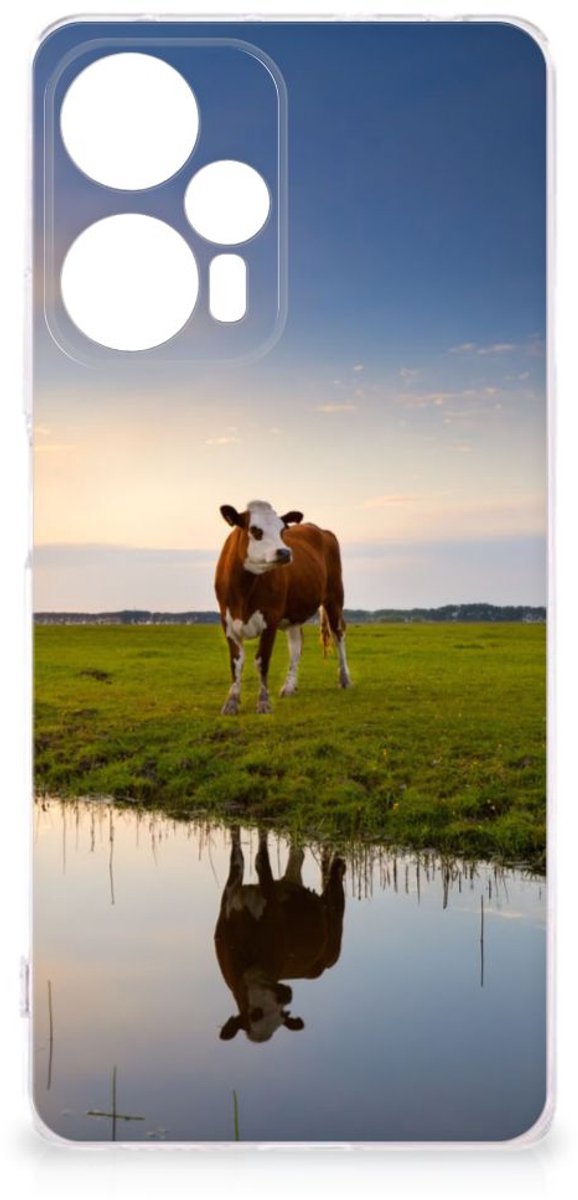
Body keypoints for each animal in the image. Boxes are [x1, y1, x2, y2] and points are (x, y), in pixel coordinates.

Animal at [214, 500, 352, 715]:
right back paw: (289, 687)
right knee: (296, 645)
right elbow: (236, 662)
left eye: (282, 530)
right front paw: (231, 702)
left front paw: (263, 702)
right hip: (294, 614)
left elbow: (262, 661)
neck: (243, 590)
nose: (285, 552)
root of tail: (321, 530)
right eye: (255, 530)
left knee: (338, 635)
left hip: (335, 597)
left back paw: (344, 678)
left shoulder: (270, 619)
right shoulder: (227, 622)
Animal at [214, 827, 346, 1043]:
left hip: (334, 926)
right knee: (297, 856)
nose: (287, 995)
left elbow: (261, 860)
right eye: (255, 1014)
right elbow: (237, 856)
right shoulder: (230, 895)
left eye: (282, 1015)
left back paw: (338, 865)